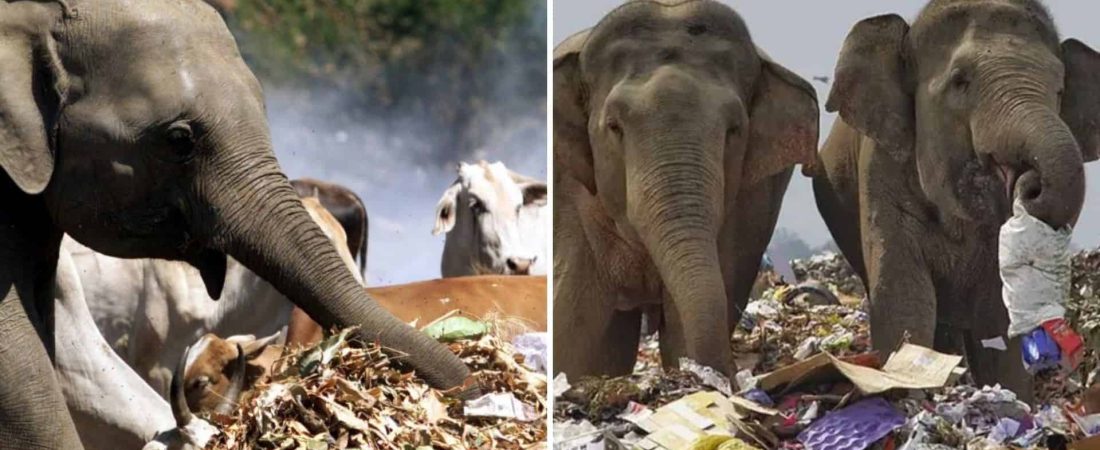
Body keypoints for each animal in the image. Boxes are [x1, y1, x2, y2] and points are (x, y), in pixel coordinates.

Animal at [809, 0, 1100, 400]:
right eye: (960, 82)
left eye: (1059, 90)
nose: (1028, 181)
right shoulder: (881, 168)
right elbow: (903, 297)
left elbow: (998, 319)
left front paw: (1011, 399)